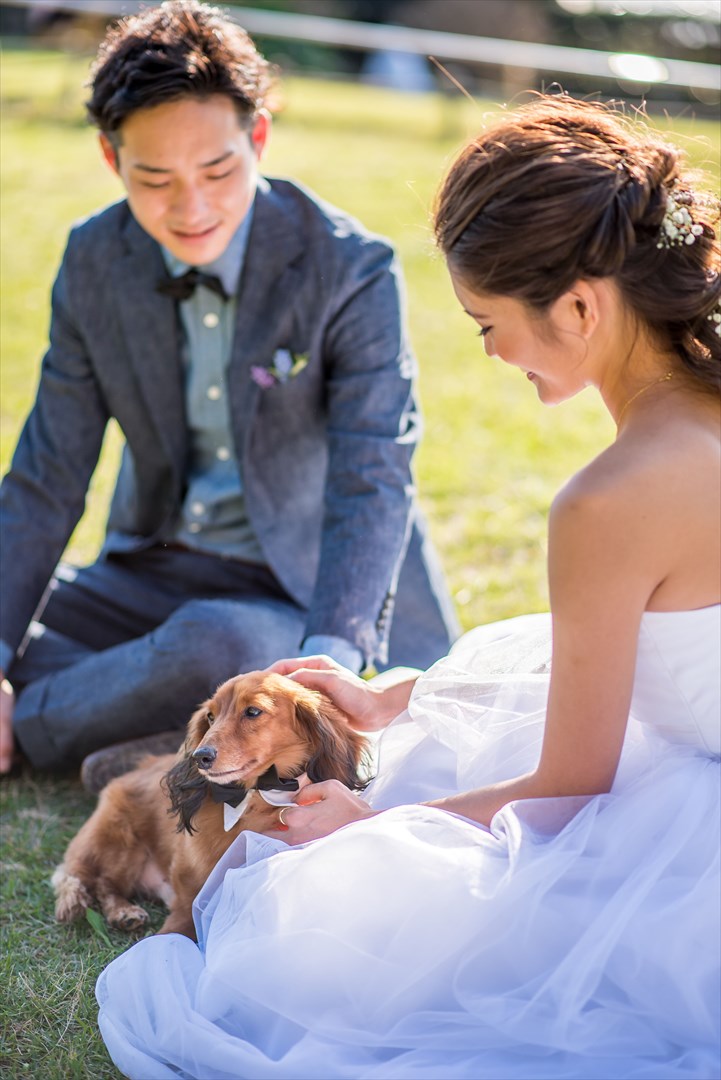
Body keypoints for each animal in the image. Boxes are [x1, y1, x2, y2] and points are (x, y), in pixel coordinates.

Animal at [52, 671, 370, 940]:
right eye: (210, 716)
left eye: (252, 711)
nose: (199, 756)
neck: (251, 798)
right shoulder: (188, 873)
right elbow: (185, 909)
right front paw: (167, 941)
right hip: (120, 843)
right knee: (102, 884)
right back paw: (123, 911)